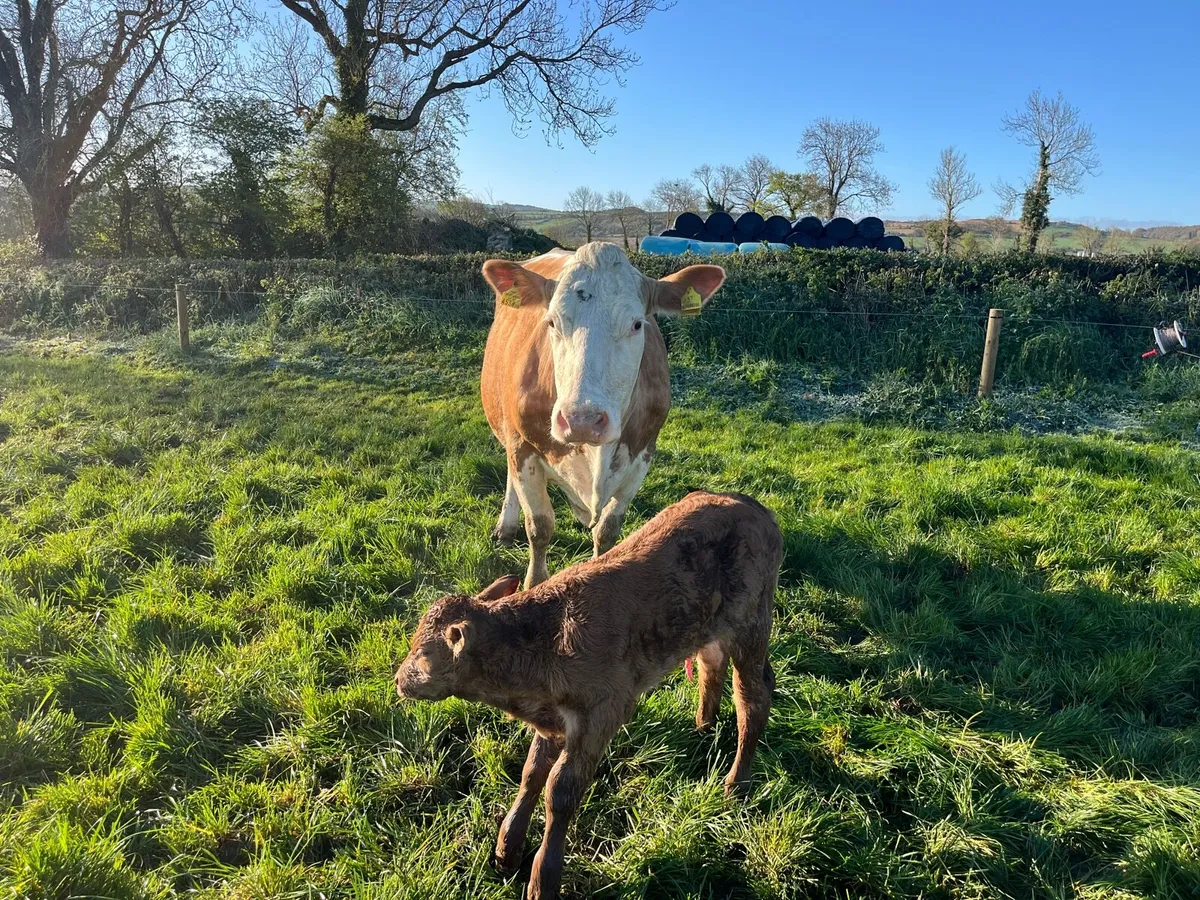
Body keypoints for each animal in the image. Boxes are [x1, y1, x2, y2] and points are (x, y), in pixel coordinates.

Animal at [395, 490, 781, 900]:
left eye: (423, 652)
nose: (399, 680)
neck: (545, 643)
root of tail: (748, 503)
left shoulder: (602, 712)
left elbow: (560, 791)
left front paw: (542, 879)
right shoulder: (553, 719)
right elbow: (532, 773)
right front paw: (506, 847)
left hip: (752, 622)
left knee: (753, 695)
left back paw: (736, 784)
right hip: (707, 626)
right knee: (712, 663)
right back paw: (704, 726)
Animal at [480, 242, 726, 588]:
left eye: (637, 324)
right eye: (552, 322)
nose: (582, 420)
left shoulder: (642, 454)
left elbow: (608, 530)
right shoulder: (522, 446)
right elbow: (540, 527)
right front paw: (534, 584)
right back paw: (507, 525)